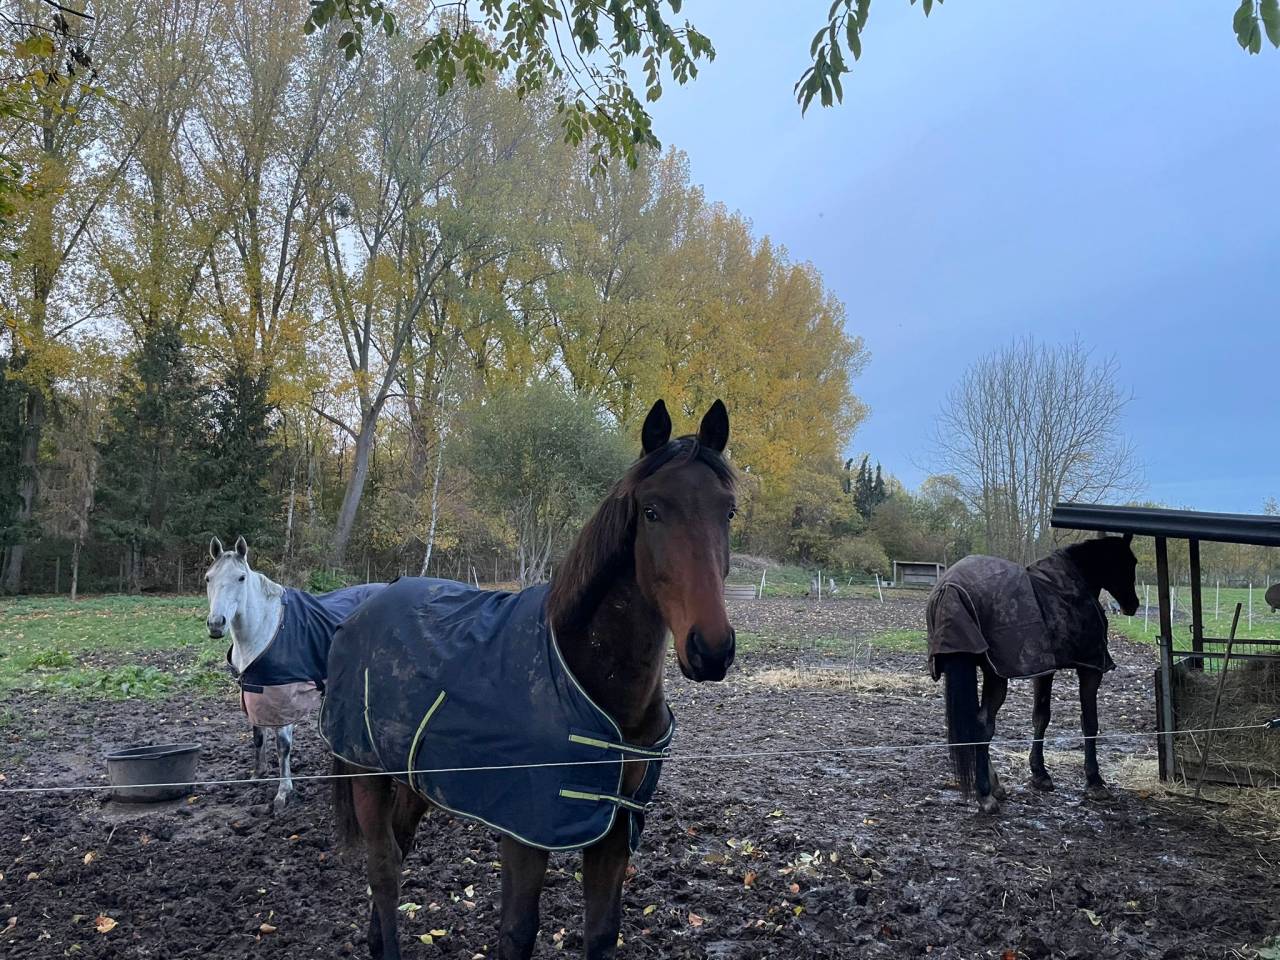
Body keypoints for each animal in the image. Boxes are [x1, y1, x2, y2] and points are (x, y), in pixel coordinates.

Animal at [204, 536, 385, 812]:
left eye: (241, 578)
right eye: (208, 578)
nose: (216, 624)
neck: (267, 628)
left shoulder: (283, 699)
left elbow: (283, 747)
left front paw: (283, 792)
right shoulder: (254, 693)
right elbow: (258, 737)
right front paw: (257, 775)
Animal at [324, 399, 737, 960]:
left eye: (728, 511)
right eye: (652, 510)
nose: (711, 650)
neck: (588, 685)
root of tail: (365, 605)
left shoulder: (615, 827)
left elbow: (601, 932)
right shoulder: (525, 829)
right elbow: (517, 933)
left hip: (413, 778)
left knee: (399, 850)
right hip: (366, 772)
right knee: (385, 869)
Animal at [928, 534, 1140, 814]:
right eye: (1129, 562)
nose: (1133, 605)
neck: (1075, 579)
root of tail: (951, 587)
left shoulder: (1043, 669)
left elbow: (1041, 717)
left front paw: (1040, 774)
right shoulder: (1091, 668)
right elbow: (1089, 723)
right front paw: (1095, 782)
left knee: (978, 723)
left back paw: (994, 786)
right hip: (996, 675)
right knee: (983, 724)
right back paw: (985, 794)